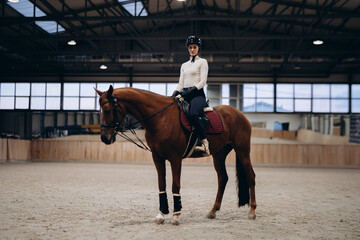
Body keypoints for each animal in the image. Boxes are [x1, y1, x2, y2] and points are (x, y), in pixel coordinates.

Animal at [95, 86, 256, 225]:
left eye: (107, 110)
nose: (105, 138)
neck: (161, 118)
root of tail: (238, 114)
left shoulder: (175, 158)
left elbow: (175, 185)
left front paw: (176, 215)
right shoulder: (157, 157)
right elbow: (162, 184)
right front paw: (161, 214)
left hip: (242, 150)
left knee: (250, 176)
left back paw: (252, 211)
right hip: (219, 155)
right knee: (223, 178)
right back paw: (213, 211)